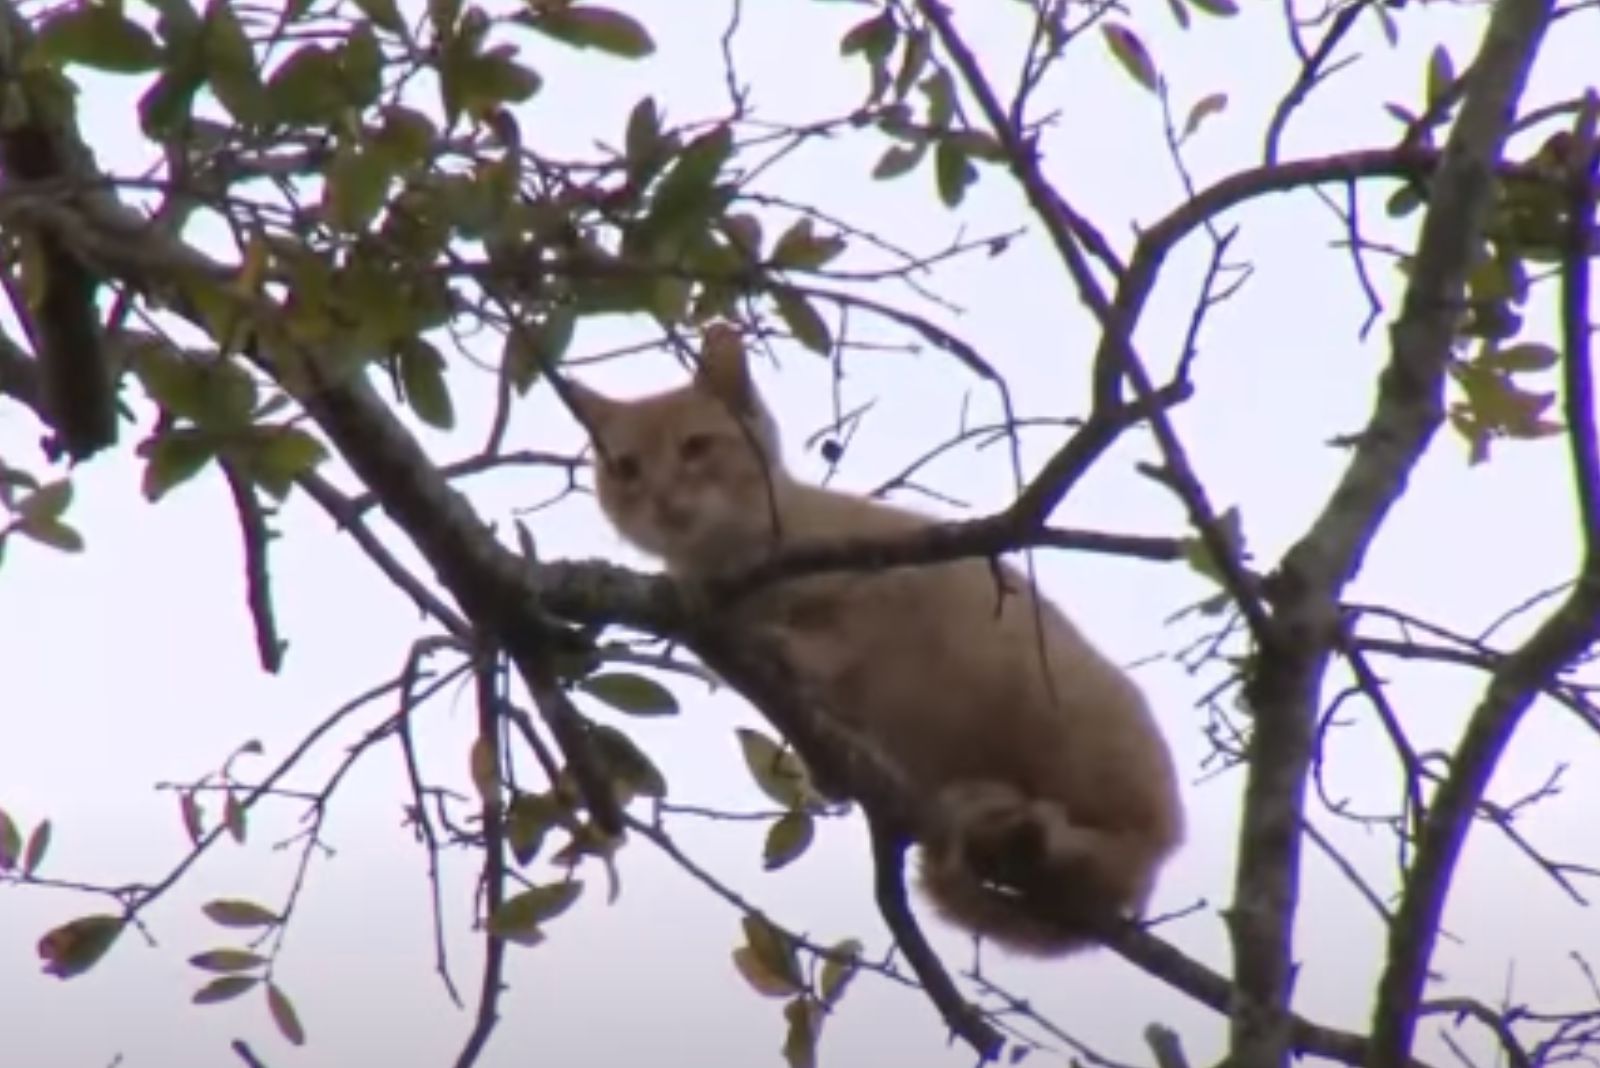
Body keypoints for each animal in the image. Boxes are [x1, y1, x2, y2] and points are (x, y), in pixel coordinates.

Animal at [569, 327, 1184, 959]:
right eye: (626, 468)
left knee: (1124, 858)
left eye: (695, 447)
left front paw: (791, 645)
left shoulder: (900, 581)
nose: (663, 499)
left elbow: (842, 639)